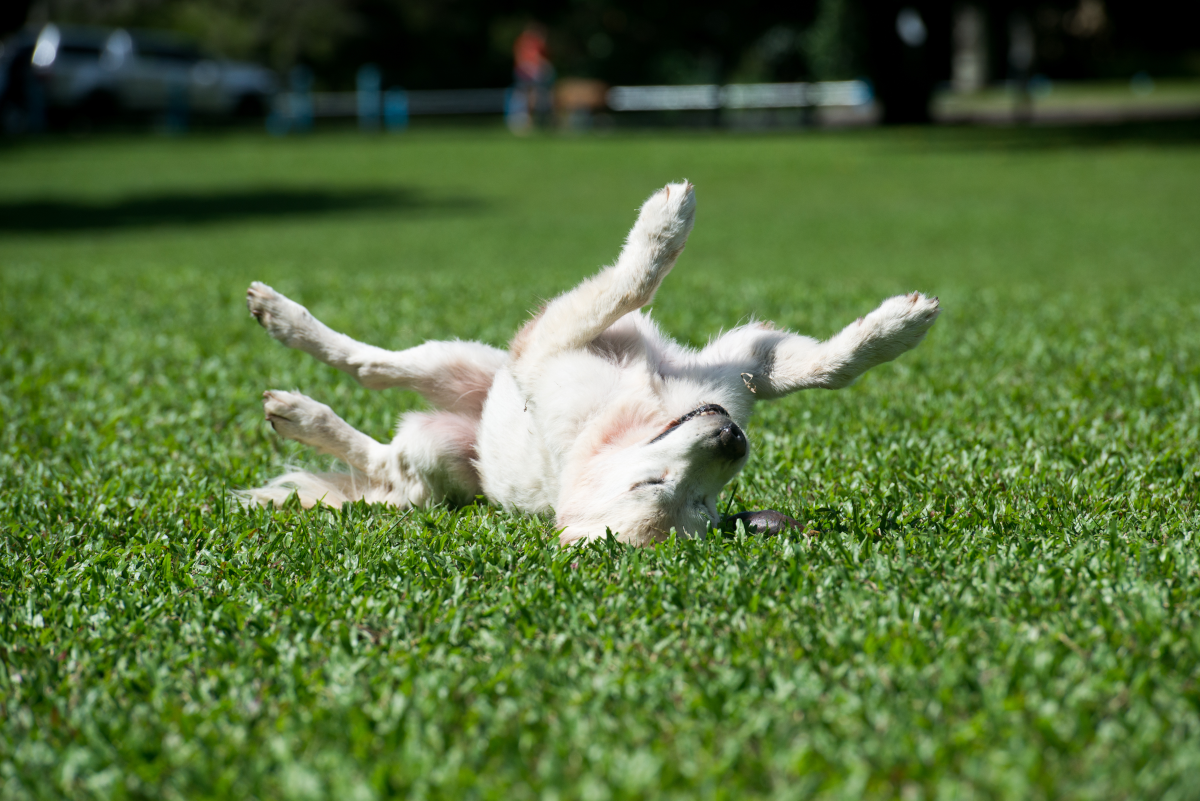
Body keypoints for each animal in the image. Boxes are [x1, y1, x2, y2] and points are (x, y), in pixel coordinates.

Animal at [241, 181, 936, 544]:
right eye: (653, 487)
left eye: (703, 509)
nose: (732, 439)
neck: (633, 417)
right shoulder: (549, 340)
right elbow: (630, 284)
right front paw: (665, 221)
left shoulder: (739, 368)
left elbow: (827, 366)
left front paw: (900, 327)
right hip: (446, 413)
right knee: (372, 386)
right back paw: (290, 363)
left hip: (462, 384)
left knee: (377, 407)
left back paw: (289, 387)